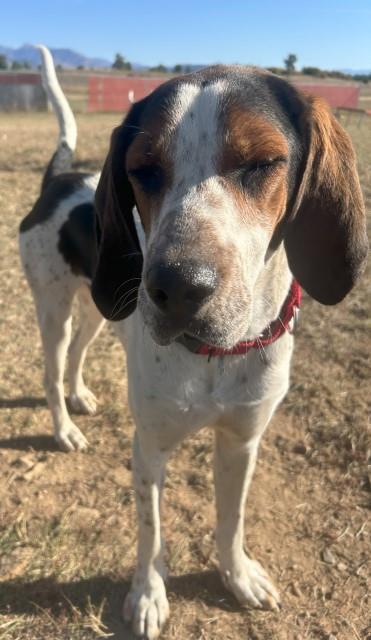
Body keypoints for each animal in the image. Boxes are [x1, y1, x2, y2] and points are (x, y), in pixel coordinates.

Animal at [21, 47, 370, 636]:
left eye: (262, 162)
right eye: (142, 169)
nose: (177, 288)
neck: (217, 357)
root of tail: (60, 177)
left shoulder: (242, 441)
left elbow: (231, 520)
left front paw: (237, 576)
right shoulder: (149, 449)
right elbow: (150, 532)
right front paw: (147, 594)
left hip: (99, 310)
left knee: (78, 355)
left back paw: (80, 396)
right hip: (54, 309)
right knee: (50, 368)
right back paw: (64, 427)